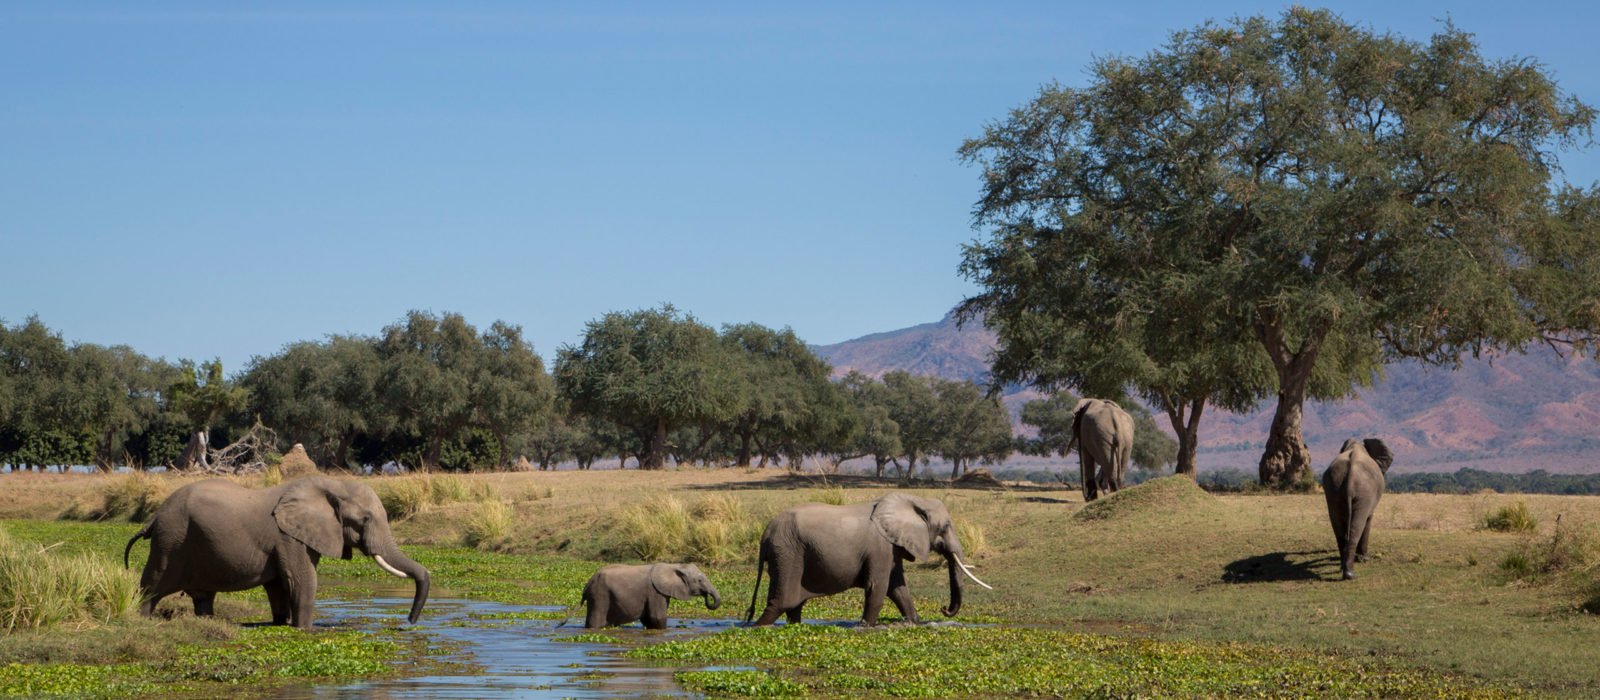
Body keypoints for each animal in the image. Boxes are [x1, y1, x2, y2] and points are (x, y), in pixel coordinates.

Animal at [122, 476, 432, 629]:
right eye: (366, 519)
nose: (409, 622)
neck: (329, 485)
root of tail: (154, 517)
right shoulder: (288, 537)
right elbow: (302, 581)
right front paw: (305, 630)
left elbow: (279, 585)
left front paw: (283, 623)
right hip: (170, 541)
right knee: (152, 585)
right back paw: (140, 619)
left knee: (203, 598)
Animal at [582, 562, 720, 629]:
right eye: (700, 580)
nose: (707, 596)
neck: (674, 566)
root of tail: (588, 583)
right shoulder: (654, 592)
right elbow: (657, 617)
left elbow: (648, 618)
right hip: (600, 595)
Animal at [745, 489, 985, 626]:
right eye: (945, 526)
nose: (944, 609)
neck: (913, 501)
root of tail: (765, 534)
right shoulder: (880, 547)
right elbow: (878, 586)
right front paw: (866, 627)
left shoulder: (891, 546)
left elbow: (898, 588)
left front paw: (915, 623)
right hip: (787, 554)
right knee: (781, 603)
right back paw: (757, 626)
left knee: (794, 606)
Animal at [1318, 437, 1395, 578]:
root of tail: (1351, 475)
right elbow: (1368, 520)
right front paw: (1365, 559)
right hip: (1364, 492)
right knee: (1358, 525)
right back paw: (1349, 574)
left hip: (1333, 489)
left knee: (1338, 526)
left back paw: (1342, 568)